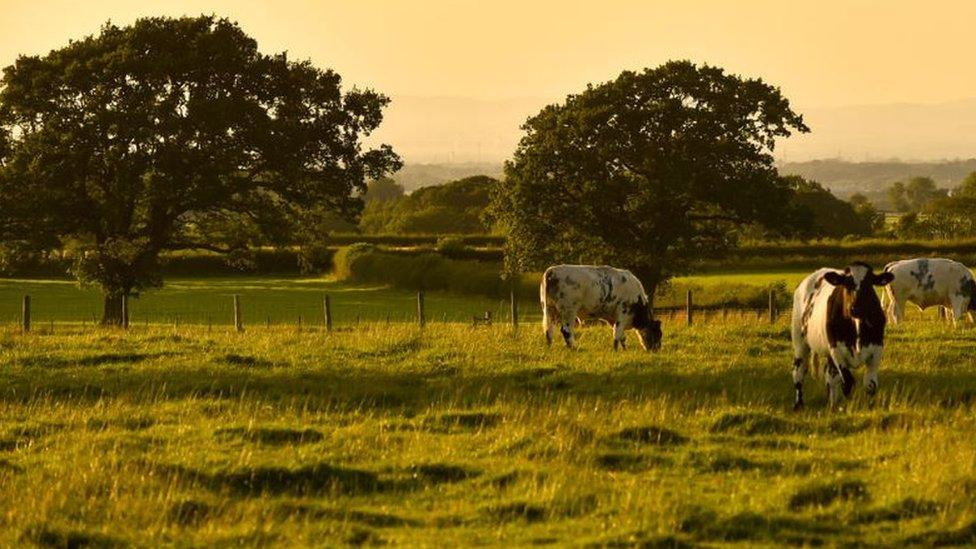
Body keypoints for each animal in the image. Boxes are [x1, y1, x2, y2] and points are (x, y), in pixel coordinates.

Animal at [788, 264, 896, 408]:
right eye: (846, 283)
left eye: (868, 284)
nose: (856, 308)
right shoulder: (837, 351)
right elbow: (848, 382)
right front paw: (845, 407)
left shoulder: (877, 350)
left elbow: (870, 384)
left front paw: (870, 407)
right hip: (800, 342)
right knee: (799, 371)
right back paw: (799, 404)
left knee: (830, 376)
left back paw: (831, 403)